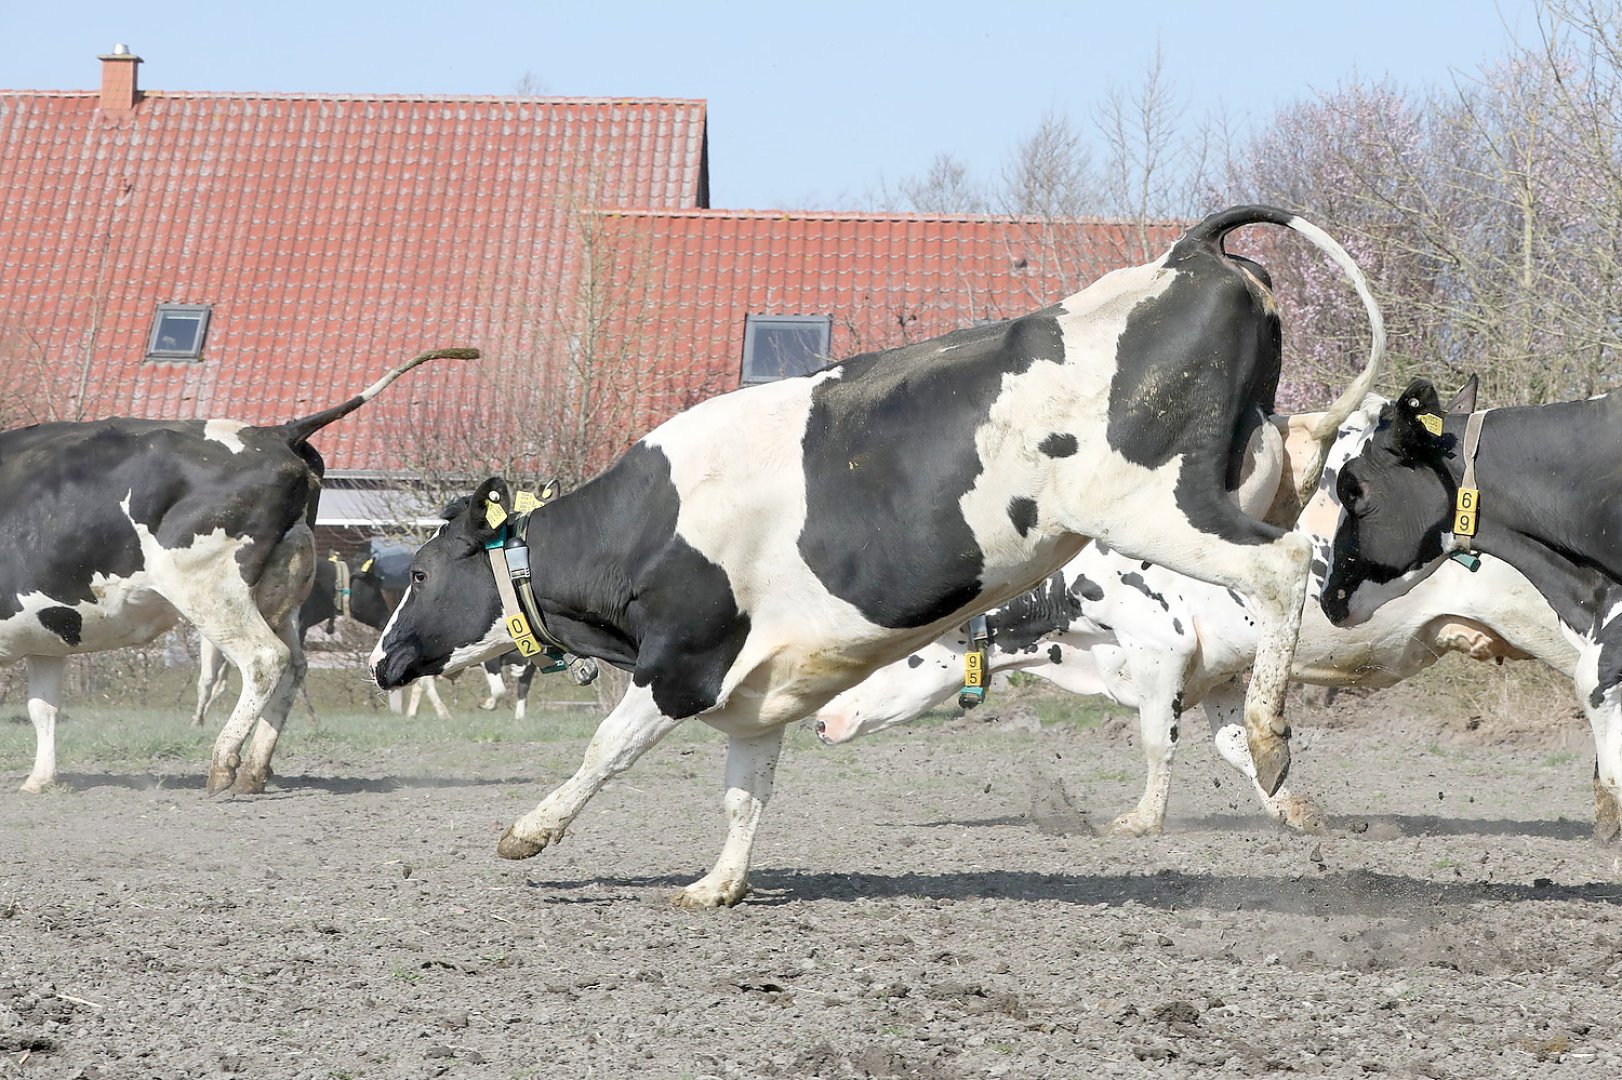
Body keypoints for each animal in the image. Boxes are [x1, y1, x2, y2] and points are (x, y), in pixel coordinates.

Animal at [2, 346, 475, 794]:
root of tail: (275, 433)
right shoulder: (46, 635)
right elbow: (43, 707)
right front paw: (40, 779)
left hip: (212, 591)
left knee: (264, 659)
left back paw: (223, 763)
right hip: (278, 595)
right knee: (293, 667)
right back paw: (254, 770)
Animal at [368, 206, 1385, 906]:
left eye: (416, 574)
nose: (381, 659)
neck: (647, 525)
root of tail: (1186, 254)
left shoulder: (683, 662)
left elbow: (604, 750)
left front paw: (528, 834)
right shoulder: (757, 692)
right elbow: (744, 793)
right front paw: (718, 886)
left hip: (1157, 504)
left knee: (1282, 565)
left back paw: (1270, 734)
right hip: (1257, 467)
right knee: (1302, 493)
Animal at [813, 395, 1577, 834]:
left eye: (882, 658)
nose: (820, 722)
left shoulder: (1162, 654)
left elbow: (1158, 744)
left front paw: (1141, 822)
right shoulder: (1221, 676)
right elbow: (1242, 747)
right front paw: (1294, 809)